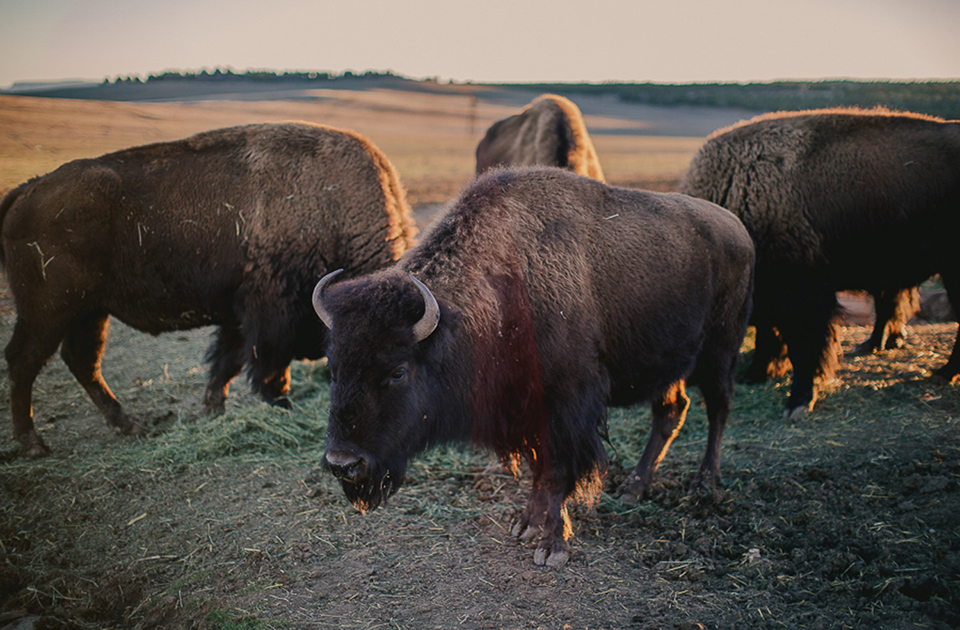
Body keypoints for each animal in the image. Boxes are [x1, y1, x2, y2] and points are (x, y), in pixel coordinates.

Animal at [2, 121, 416, 456]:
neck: (332, 210)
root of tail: (26, 190)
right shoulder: (271, 313)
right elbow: (266, 367)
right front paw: (280, 405)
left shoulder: (238, 314)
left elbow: (225, 363)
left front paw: (212, 409)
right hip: (48, 312)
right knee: (23, 360)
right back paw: (34, 444)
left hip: (89, 311)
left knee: (82, 361)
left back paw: (129, 425)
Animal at [312, 167, 752, 568]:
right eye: (333, 366)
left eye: (398, 371)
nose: (342, 464)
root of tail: (738, 230)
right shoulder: (527, 410)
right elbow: (538, 468)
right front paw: (525, 524)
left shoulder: (568, 406)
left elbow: (556, 471)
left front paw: (553, 545)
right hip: (670, 364)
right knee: (671, 411)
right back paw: (633, 488)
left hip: (719, 350)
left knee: (719, 406)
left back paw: (704, 484)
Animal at [680, 107, 960, 420]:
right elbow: (770, 335)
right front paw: (755, 375)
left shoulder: (804, 297)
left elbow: (804, 347)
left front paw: (797, 403)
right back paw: (874, 347)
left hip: (951, 272)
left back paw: (942, 373)